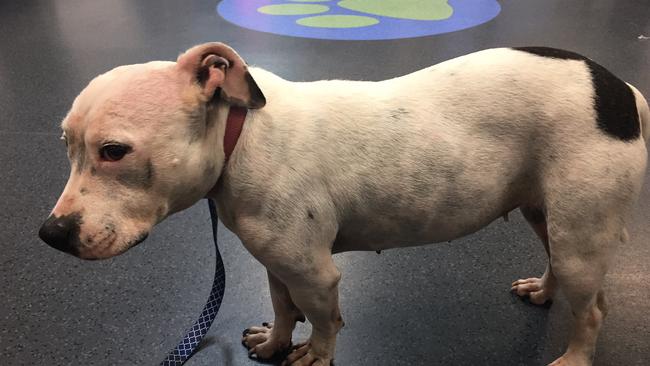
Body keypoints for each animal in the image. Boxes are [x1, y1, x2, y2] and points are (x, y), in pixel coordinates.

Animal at [41, 41, 648, 364]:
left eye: (114, 151)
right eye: (65, 144)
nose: (51, 235)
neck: (240, 137)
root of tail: (619, 89)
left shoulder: (314, 273)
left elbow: (323, 317)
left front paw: (314, 352)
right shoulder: (278, 263)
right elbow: (284, 307)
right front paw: (275, 341)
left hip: (580, 233)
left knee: (592, 308)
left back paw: (574, 357)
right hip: (549, 216)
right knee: (559, 268)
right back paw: (543, 292)